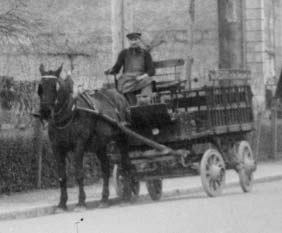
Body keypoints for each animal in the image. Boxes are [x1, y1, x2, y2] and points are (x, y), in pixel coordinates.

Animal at [37, 64, 133, 211]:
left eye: (56, 86)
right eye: (40, 86)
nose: (45, 111)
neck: (69, 113)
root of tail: (120, 96)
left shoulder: (79, 146)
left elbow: (79, 173)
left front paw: (81, 202)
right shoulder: (56, 148)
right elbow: (62, 176)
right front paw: (62, 204)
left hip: (121, 139)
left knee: (126, 164)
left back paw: (127, 196)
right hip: (100, 145)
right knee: (105, 169)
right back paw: (104, 199)